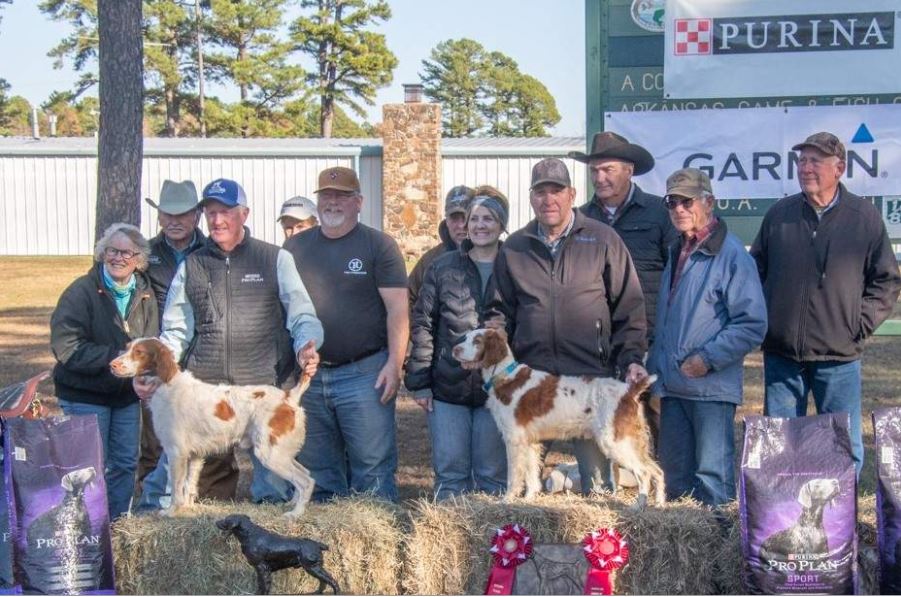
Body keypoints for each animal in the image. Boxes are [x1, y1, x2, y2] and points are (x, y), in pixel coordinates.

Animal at [110, 338, 314, 516]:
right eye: (127, 348)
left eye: (139, 352)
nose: (112, 365)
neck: (167, 384)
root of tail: (289, 397)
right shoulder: (194, 455)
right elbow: (189, 485)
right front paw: (188, 510)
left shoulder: (176, 453)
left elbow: (176, 489)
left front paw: (171, 512)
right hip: (280, 452)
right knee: (305, 474)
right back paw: (292, 504)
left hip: (269, 453)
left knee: (306, 481)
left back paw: (295, 514)